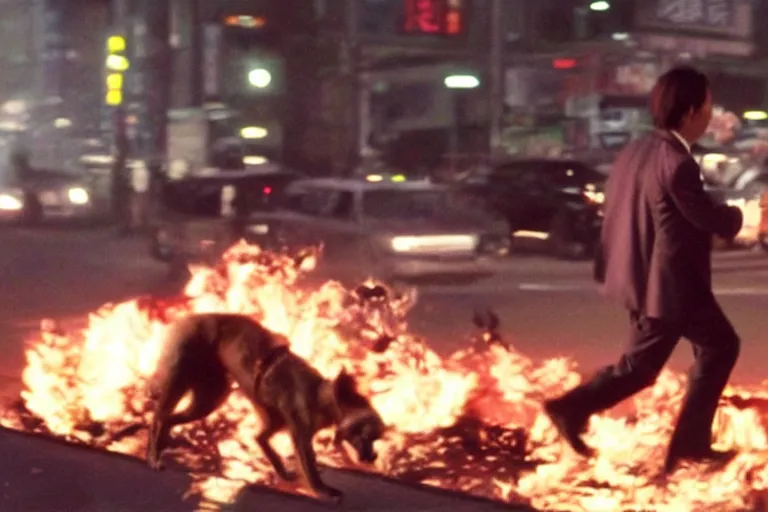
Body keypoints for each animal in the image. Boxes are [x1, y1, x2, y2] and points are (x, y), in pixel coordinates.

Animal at [146, 310, 384, 502]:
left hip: (209, 398)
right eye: (365, 435)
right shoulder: (301, 438)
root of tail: (189, 318)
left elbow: (265, 445)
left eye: (376, 439)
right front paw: (323, 491)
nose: (373, 457)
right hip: (181, 385)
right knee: (159, 417)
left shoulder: (271, 427)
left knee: (167, 419)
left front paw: (283, 473)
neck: (318, 396)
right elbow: (311, 469)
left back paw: (161, 447)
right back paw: (154, 456)